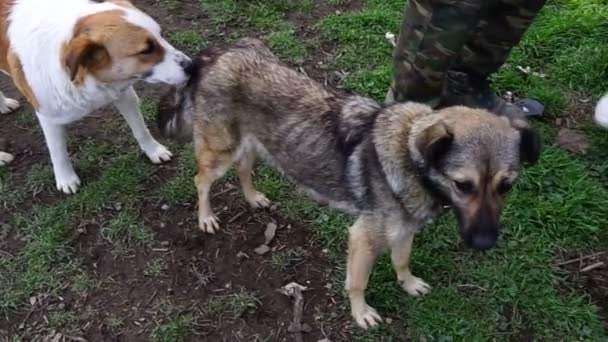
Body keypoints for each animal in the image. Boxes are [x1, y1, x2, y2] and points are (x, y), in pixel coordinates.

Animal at [0, 0, 192, 192]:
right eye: (146, 50)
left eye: (161, 35)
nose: (192, 66)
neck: (87, 74)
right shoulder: (48, 117)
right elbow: (58, 151)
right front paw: (66, 178)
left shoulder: (123, 94)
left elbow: (140, 129)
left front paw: (153, 150)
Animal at [158, 37, 540, 328]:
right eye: (464, 185)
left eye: (506, 186)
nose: (485, 243)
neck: (409, 156)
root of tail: (214, 53)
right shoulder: (363, 238)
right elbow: (358, 282)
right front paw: (361, 314)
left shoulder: (405, 230)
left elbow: (402, 261)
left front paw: (408, 284)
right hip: (220, 151)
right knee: (201, 179)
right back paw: (206, 217)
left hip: (254, 144)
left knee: (244, 168)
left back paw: (253, 198)